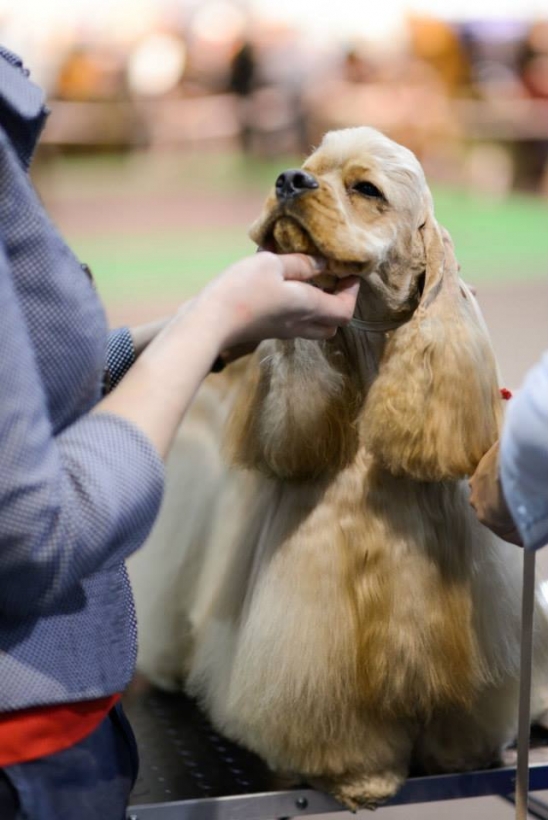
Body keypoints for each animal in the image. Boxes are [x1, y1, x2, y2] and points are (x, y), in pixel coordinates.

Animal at [128, 126, 548, 808]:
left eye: (367, 189)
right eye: (310, 167)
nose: (288, 180)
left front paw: (460, 753)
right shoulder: (314, 590)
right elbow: (331, 712)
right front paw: (359, 776)